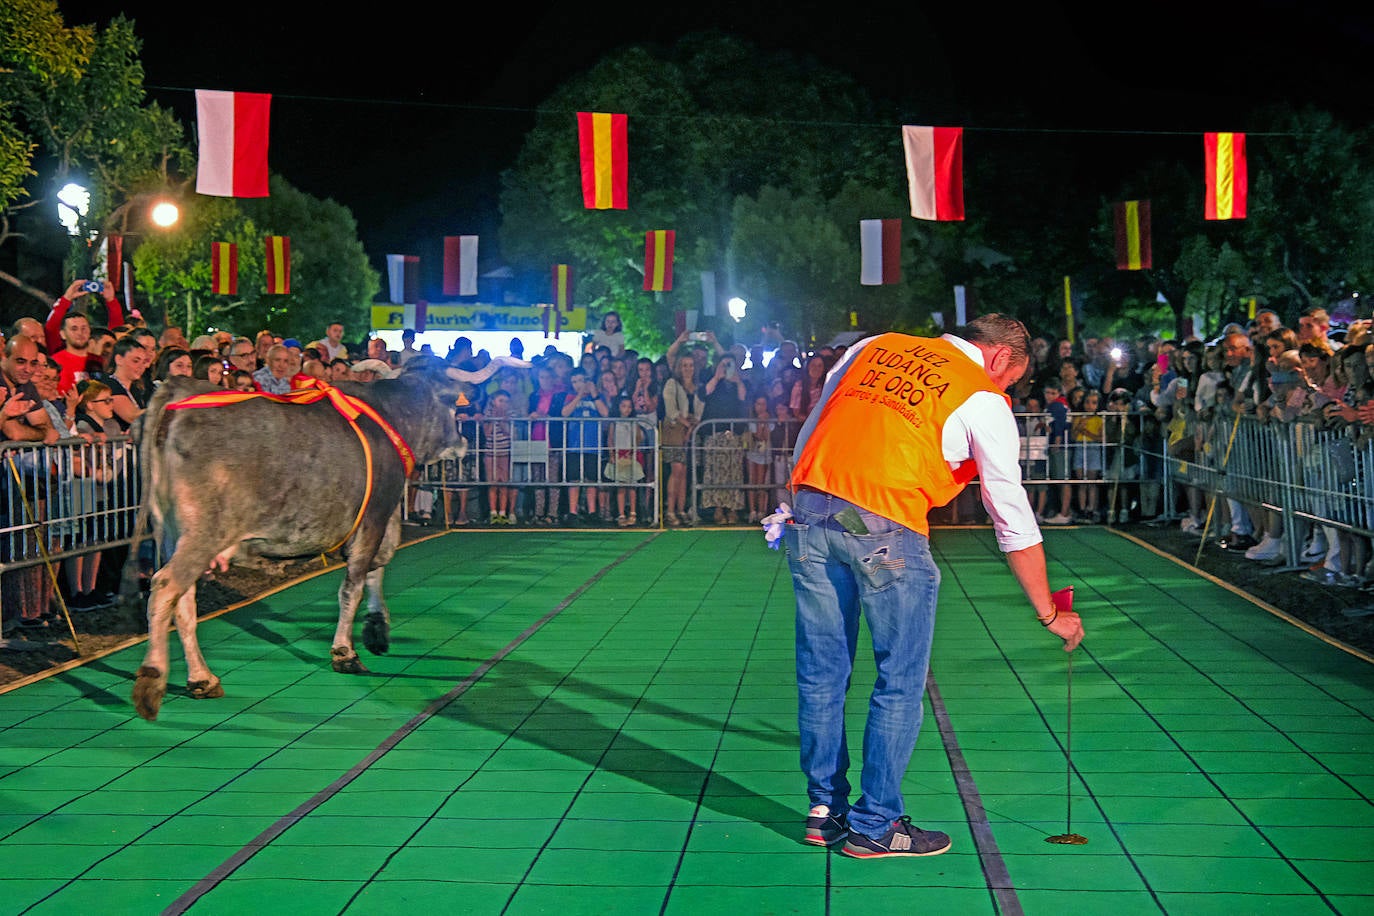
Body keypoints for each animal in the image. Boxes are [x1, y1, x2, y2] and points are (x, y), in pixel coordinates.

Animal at [129, 354, 524, 719]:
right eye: (453, 403)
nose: (463, 443)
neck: (392, 415)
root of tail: (179, 388)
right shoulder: (374, 515)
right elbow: (354, 584)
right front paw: (345, 652)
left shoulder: (383, 519)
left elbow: (376, 568)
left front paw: (377, 629)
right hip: (203, 533)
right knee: (165, 587)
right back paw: (152, 681)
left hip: (170, 533)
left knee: (184, 603)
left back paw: (202, 678)